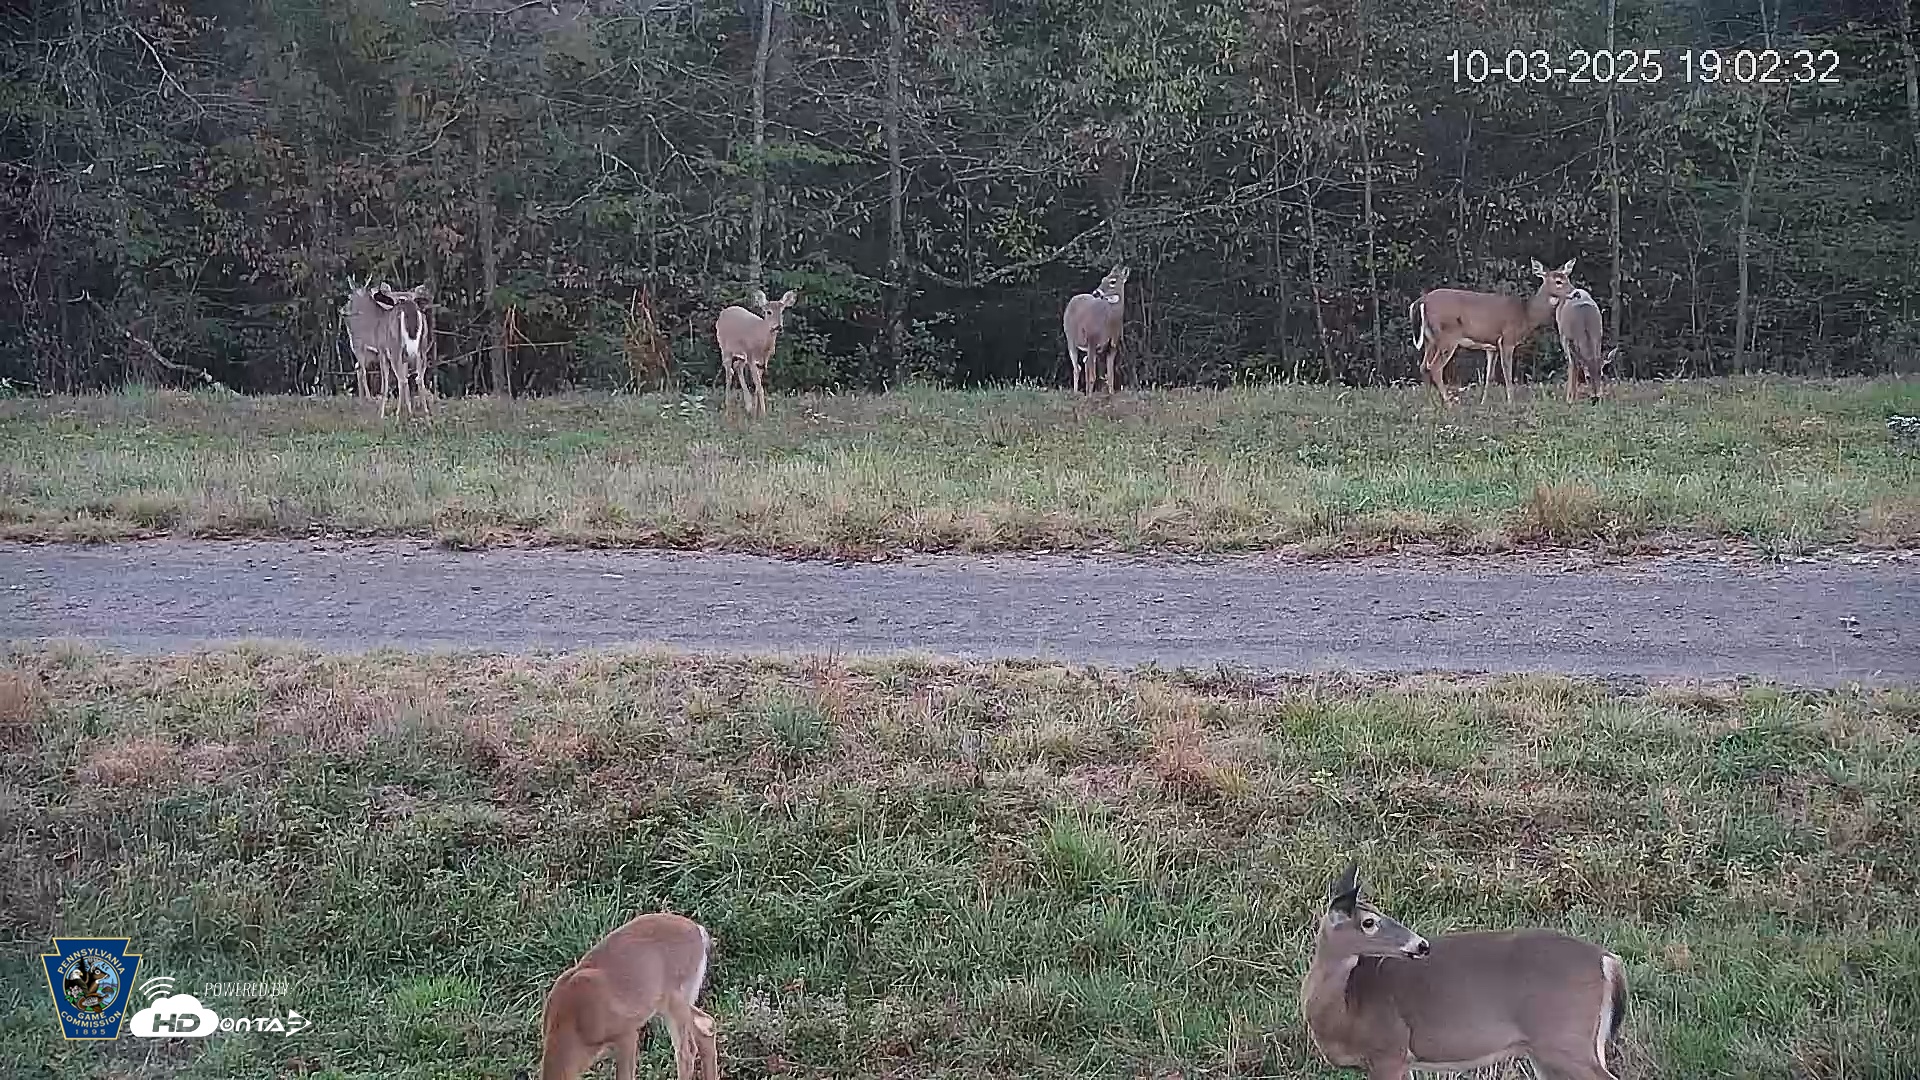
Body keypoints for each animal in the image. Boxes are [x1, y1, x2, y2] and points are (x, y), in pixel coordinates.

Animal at [515, 911, 721, 1080]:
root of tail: (699, 931)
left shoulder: (626, 1033)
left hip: (674, 1000)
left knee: (687, 1052)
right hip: (671, 1003)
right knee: (706, 1025)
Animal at [713, 288, 798, 417]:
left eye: (782, 311)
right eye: (768, 312)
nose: (778, 327)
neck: (762, 344)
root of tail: (722, 313)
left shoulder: (763, 361)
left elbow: (758, 385)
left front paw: (755, 410)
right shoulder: (751, 357)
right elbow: (759, 386)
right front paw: (763, 413)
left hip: (742, 355)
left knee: (737, 366)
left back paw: (747, 406)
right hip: (725, 347)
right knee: (729, 372)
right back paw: (728, 407)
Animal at [1062, 264, 1129, 395]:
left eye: (1112, 281)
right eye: (1103, 279)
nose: (1096, 293)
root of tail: (1073, 299)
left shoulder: (1112, 346)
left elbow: (1110, 376)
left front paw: (1111, 394)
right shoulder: (1092, 340)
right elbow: (1093, 376)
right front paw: (1089, 397)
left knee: (1085, 363)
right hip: (1071, 338)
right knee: (1077, 368)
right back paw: (1076, 393)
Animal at [1302, 860, 1630, 1080]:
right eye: (1369, 921)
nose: (1421, 945)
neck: (1346, 1009)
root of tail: (1608, 960)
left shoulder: (1390, 1051)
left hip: (1564, 1039)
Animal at [1410, 258, 1576, 406]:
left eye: (1567, 278)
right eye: (1558, 281)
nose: (1575, 293)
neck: (1526, 315)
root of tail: (1421, 301)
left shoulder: (1492, 346)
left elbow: (1489, 375)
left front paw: (1483, 402)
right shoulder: (1507, 340)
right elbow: (1507, 373)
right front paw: (1511, 402)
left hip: (1430, 339)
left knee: (1424, 366)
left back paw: (1430, 403)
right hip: (1448, 337)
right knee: (1435, 367)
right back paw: (1449, 404)